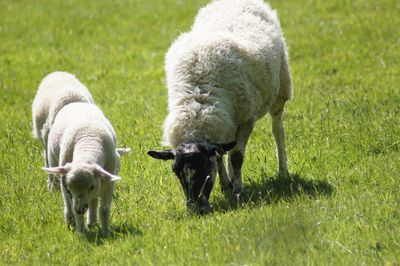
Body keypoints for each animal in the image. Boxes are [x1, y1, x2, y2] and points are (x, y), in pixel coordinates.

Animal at [42, 102, 127, 235]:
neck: (88, 144)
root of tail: (77, 103)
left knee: (93, 200)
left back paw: (91, 221)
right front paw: (82, 232)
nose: (80, 209)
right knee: (69, 204)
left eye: (91, 187)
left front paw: (105, 232)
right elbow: (72, 205)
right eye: (70, 187)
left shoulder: (107, 183)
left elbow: (104, 210)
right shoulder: (67, 186)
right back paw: (73, 220)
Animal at [148, 0, 292, 213]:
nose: (195, 209)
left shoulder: (246, 119)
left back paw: (283, 170)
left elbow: (236, 158)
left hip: (281, 88)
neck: (197, 104)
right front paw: (226, 185)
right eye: (176, 172)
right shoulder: (219, 126)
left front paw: (238, 192)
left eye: (204, 169)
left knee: (278, 131)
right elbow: (220, 155)